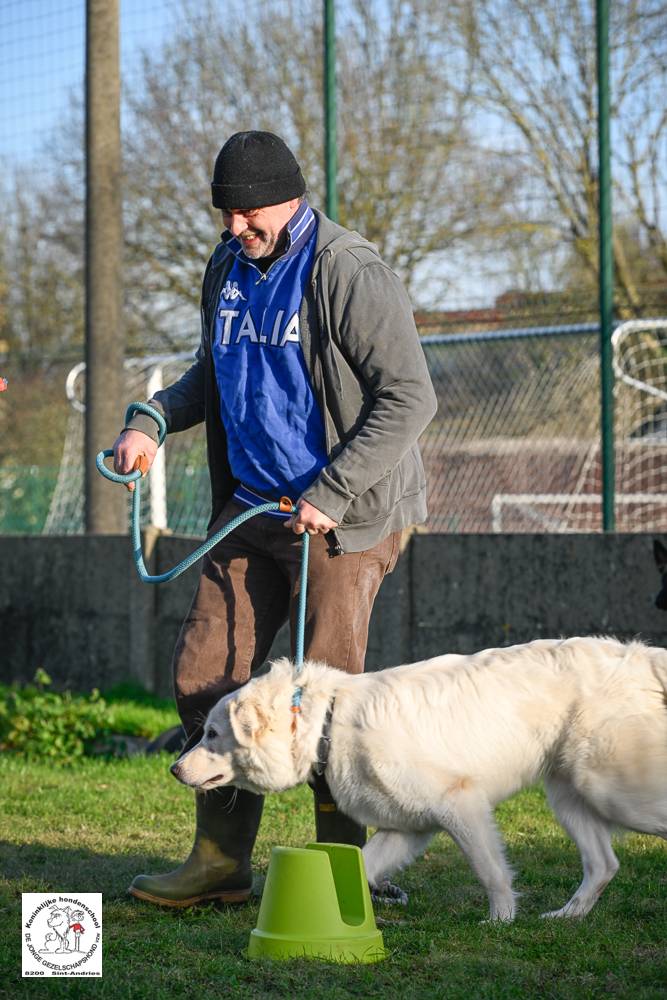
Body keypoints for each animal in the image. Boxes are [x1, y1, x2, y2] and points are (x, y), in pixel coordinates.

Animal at [172, 640, 667, 920]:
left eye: (212, 734)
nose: (174, 769)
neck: (328, 723)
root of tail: (635, 655)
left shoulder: (461, 805)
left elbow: (491, 871)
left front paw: (500, 921)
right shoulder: (407, 828)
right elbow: (359, 864)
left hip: (613, 789)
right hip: (569, 796)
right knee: (604, 865)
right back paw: (567, 916)